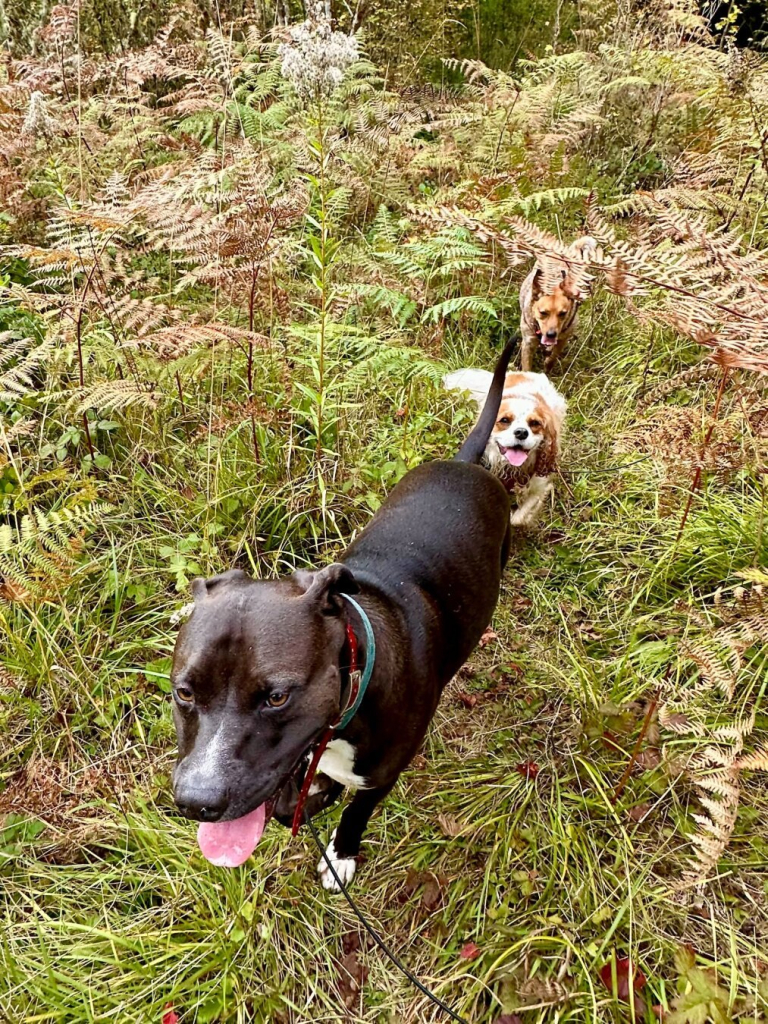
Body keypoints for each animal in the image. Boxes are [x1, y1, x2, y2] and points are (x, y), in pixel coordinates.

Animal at [169, 339, 518, 884]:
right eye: (184, 692)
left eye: (276, 697)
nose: (195, 801)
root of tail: (465, 462)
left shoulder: (381, 775)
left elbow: (356, 810)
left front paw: (341, 855)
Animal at [444, 368, 565, 528]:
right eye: (505, 420)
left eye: (535, 423)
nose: (521, 432)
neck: (514, 468)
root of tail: (526, 373)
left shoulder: (540, 486)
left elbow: (518, 518)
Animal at [520, 235, 598, 372]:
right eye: (543, 312)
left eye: (563, 313)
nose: (551, 334)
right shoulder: (528, 344)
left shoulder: (563, 340)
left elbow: (552, 358)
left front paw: (547, 366)